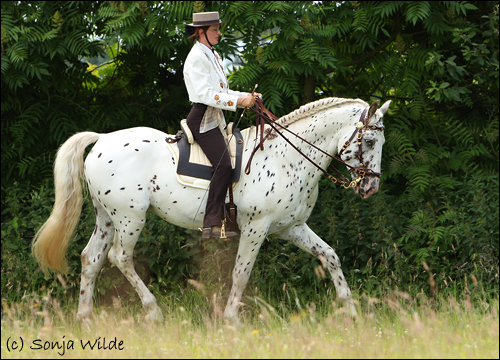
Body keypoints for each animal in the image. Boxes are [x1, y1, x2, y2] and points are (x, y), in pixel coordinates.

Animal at [32, 97, 390, 322]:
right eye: (370, 142)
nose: (370, 188)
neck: (285, 156)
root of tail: (102, 140)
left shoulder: (292, 227)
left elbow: (330, 256)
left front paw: (350, 310)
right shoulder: (256, 228)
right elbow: (241, 273)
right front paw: (231, 318)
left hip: (106, 218)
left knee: (90, 259)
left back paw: (85, 317)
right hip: (129, 218)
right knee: (120, 257)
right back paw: (154, 311)